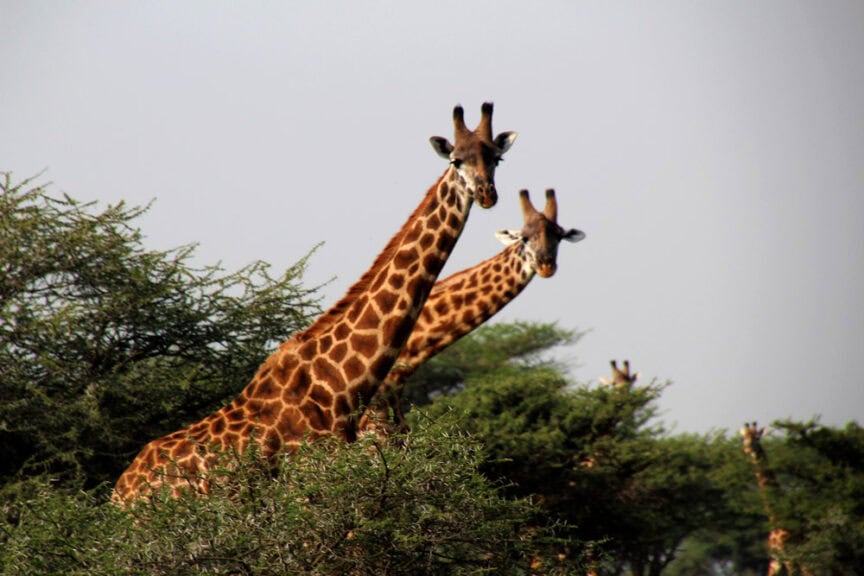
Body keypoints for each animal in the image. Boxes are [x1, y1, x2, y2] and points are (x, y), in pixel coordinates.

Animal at [112, 103, 517, 503]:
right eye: (456, 160)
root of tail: (120, 495)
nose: (486, 194)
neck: (341, 384)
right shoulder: (308, 482)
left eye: (496, 158)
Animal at [739, 422, 812, 576]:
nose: (748, 449)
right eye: (744, 439)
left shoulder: (790, 556)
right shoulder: (775, 561)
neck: (775, 518)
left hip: (805, 556)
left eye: (756, 438)